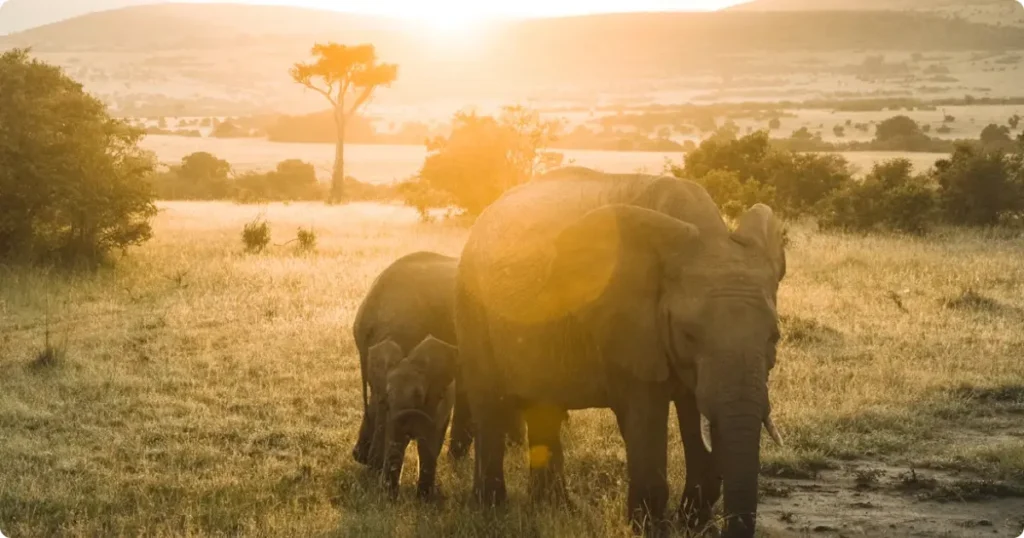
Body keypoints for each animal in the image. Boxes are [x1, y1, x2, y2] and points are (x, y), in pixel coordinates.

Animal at [368, 336, 458, 499]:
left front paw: (424, 499)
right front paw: (389, 497)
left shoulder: (434, 404)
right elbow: (394, 436)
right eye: (388, 395)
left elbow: (426, 444)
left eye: (418, 395)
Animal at [454, 167, 786, 538]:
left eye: (774, 337)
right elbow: (646, 416)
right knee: (490, 405)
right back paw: (491, 510)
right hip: (471, 306)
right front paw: (651, 530)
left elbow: (694, 415)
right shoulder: (630, 329)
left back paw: (555, 509)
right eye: (689, 335)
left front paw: (690, 526)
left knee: (544, 405)